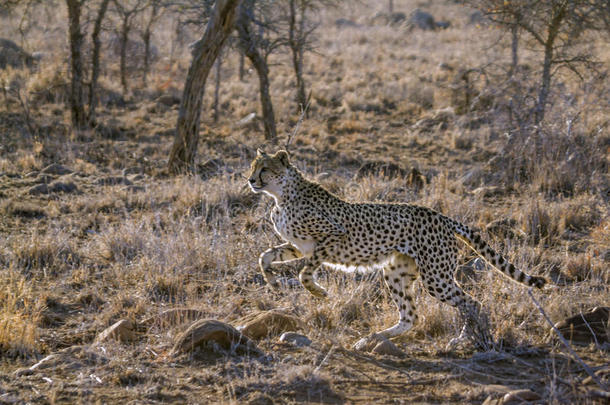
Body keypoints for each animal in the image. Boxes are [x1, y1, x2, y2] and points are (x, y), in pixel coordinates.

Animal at [247, 150, 548, 346]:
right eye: (252, 167)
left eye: (264, 169)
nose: (250, 181)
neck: (281, 196)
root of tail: (443, 217)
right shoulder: (299, 246)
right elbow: (265, 256)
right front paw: (272, 282)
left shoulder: (333, 236)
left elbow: (304, 273)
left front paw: (318, 291)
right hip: (396, 272)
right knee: (410, 316)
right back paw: (374, 338)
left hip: (435, 277)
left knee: (471, 302)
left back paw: (467, 338)